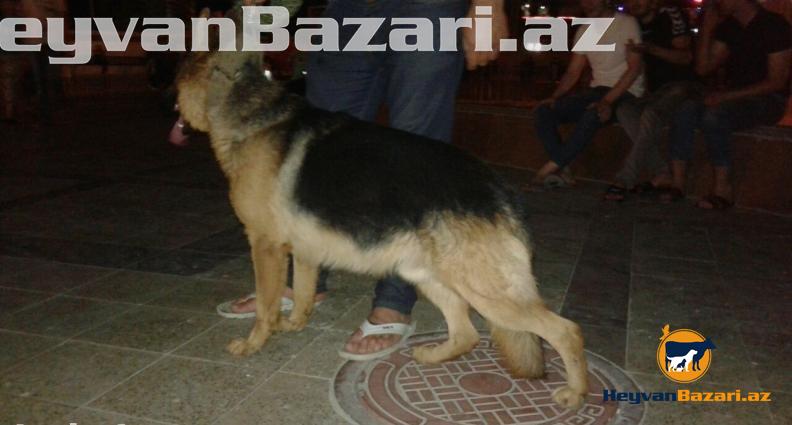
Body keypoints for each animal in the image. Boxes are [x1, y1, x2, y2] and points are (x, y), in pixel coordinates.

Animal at [170, 10, 588, 410]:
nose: (167, 106)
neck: (250, 105)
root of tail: (500, 188)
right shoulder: (304, 250)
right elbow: (303, 293)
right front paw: (294, 323)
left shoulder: (265, 245)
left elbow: (265, 303)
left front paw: (255, 342)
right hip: (427, 275)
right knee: (466, 332)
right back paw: (433, 356)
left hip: (486, 293)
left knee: (565, 330)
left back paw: (575, 392)